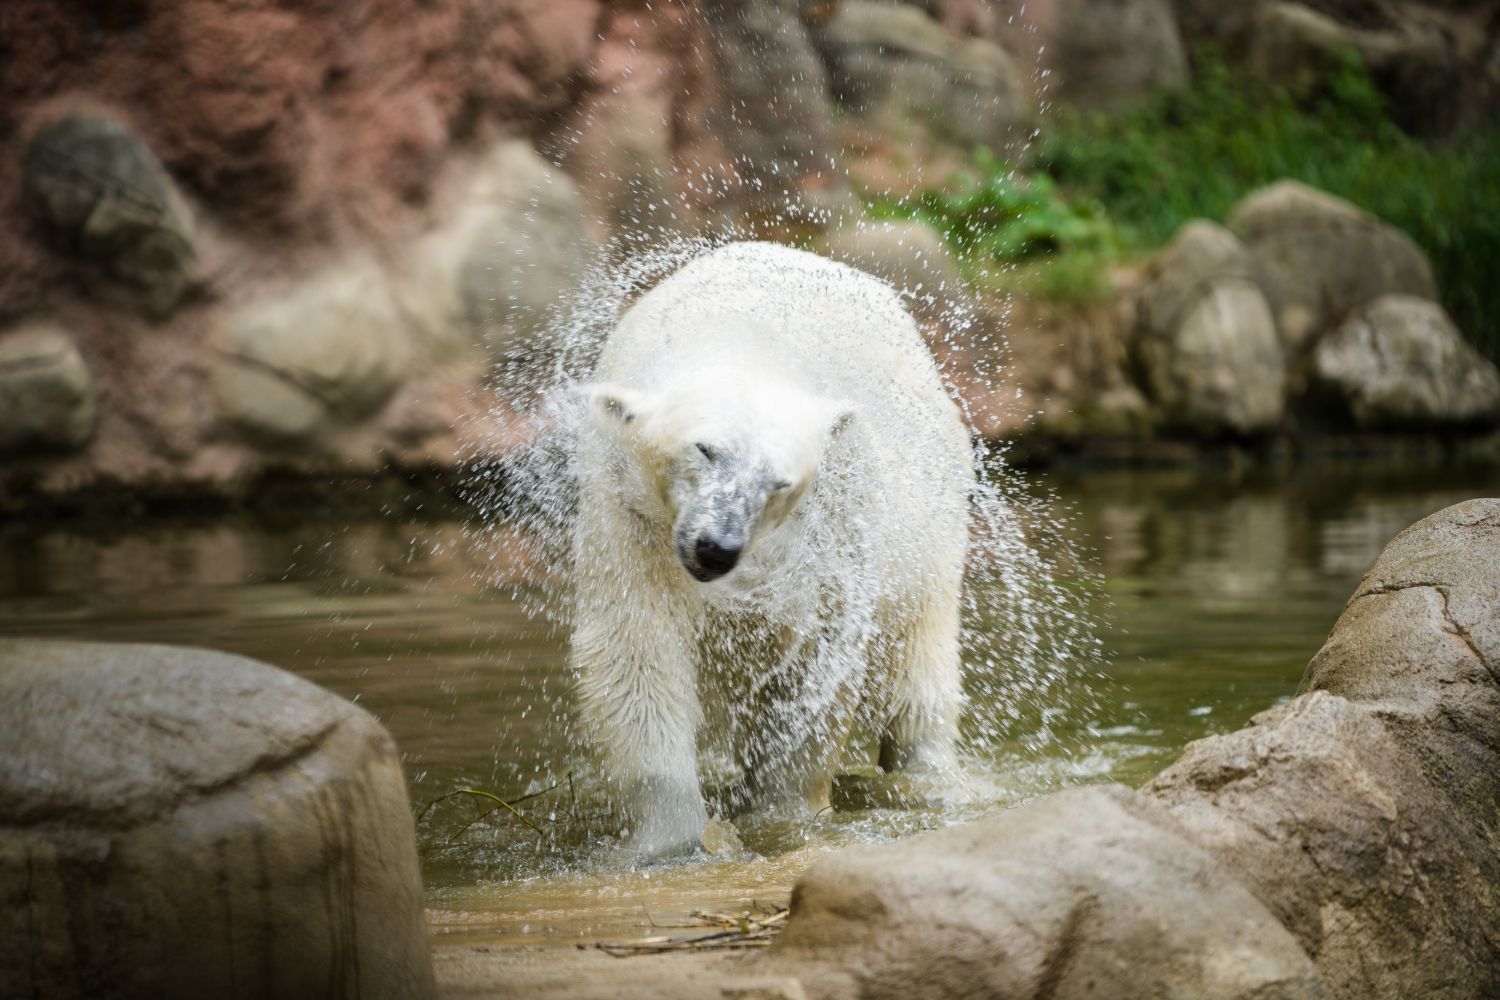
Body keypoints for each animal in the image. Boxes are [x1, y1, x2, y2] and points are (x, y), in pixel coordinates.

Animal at [572, 241, 973, 857]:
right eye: (705, 449)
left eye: (779, 481)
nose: (717, 548)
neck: (747, 334)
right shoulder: (628, 511)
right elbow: (637, 645)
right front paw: (672, 836)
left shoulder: (836, 517)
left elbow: (817, 654)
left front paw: (782, 816)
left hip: (933, 518)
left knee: (919, 659)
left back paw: (926, 777)